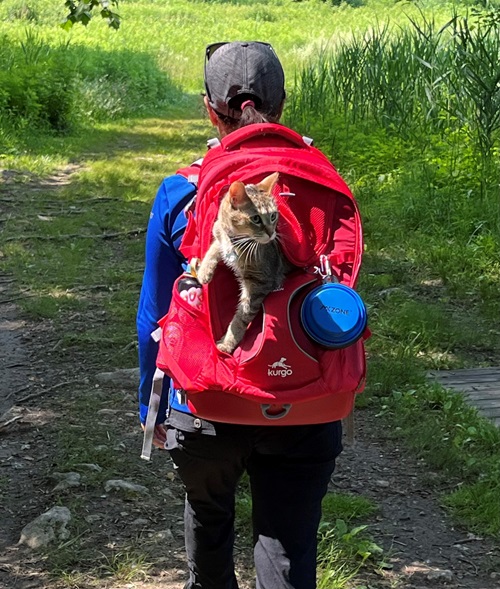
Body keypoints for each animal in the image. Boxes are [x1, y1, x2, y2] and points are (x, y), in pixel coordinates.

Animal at [195, 171, 290, 354]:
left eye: (273, 216)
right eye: (256, 219)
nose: (272, 234)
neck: (238, 241)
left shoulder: (260, 283)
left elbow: (242, 316)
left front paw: (228, 341)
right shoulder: (219, 233)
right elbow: (213, 248)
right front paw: (204, 271)